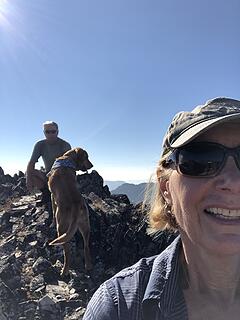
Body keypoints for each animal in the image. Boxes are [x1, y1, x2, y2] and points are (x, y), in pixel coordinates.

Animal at [47, 148, 93, 276]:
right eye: (86, 157)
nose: (92, 165)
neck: (67, 159)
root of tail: (76, 206)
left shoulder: (52, 195)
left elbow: (53, 210)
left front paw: (51, 222)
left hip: (62, 229)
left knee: (67, 252)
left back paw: (65, 270)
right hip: (86, 225)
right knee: (86, 246)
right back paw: (88, 265)